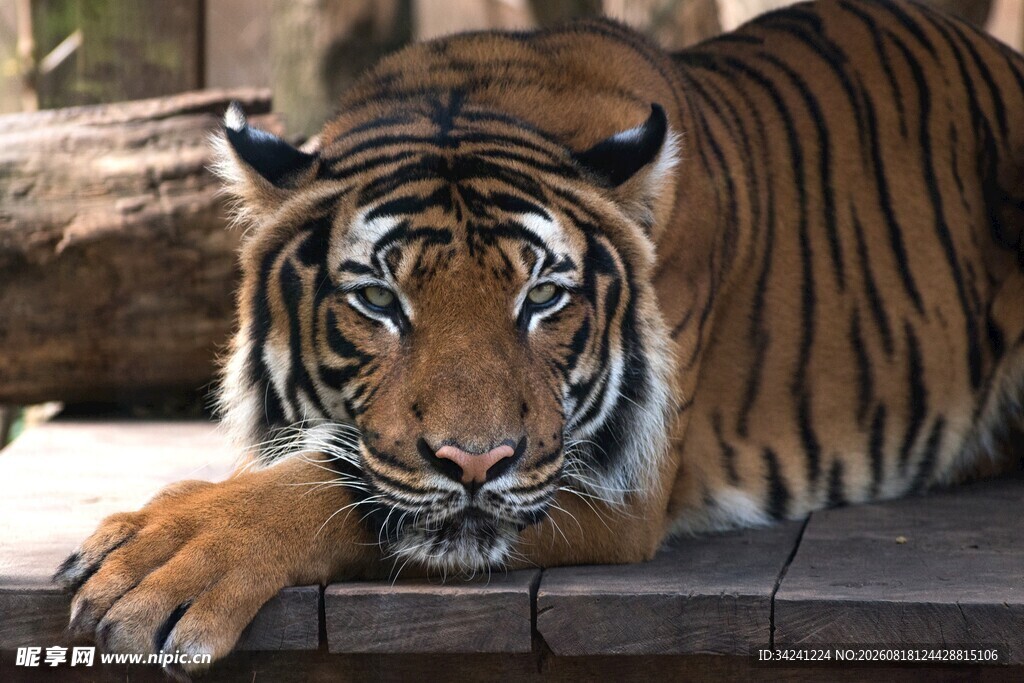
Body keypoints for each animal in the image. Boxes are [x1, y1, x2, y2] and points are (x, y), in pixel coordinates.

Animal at [55, 0, 1023, 674]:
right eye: (378, 298)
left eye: (544, 297)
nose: (477, 461)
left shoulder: (616, 483)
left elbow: (334, 483)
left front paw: (168, 554)